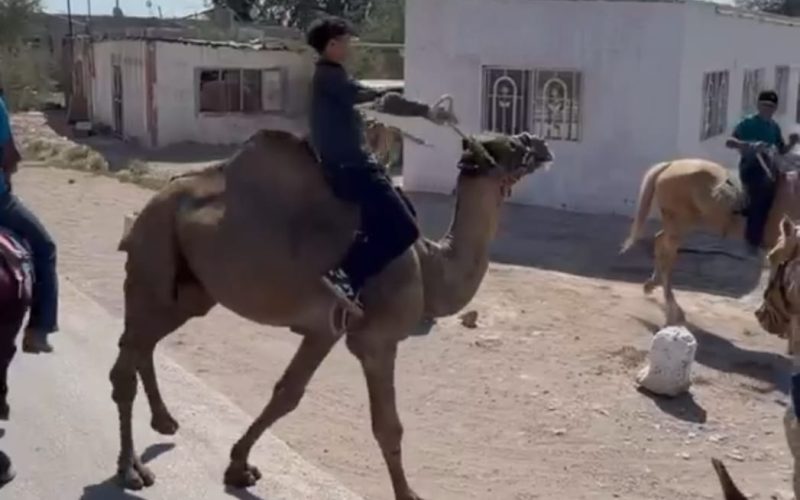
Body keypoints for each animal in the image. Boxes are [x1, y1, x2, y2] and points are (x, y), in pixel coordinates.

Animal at [109, 128, 554, 500]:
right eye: (507, 145)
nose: (539, 142)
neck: (429, 265)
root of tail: (152, 201)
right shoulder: (376, 340)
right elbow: (388, 426)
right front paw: (408, 495)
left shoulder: (325, 330)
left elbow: (287, 394)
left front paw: (239, 467)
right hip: (154, 256)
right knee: (124, 364)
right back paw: (131, 471)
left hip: (190, 291)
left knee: (140, 343)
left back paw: (164, 423)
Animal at [621, 149, 800, 326]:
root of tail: (670, 165)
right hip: (679, 223)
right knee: (667, 258)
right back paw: (673, 309)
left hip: (679, 225)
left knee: (659, 242)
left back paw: (652, 285)